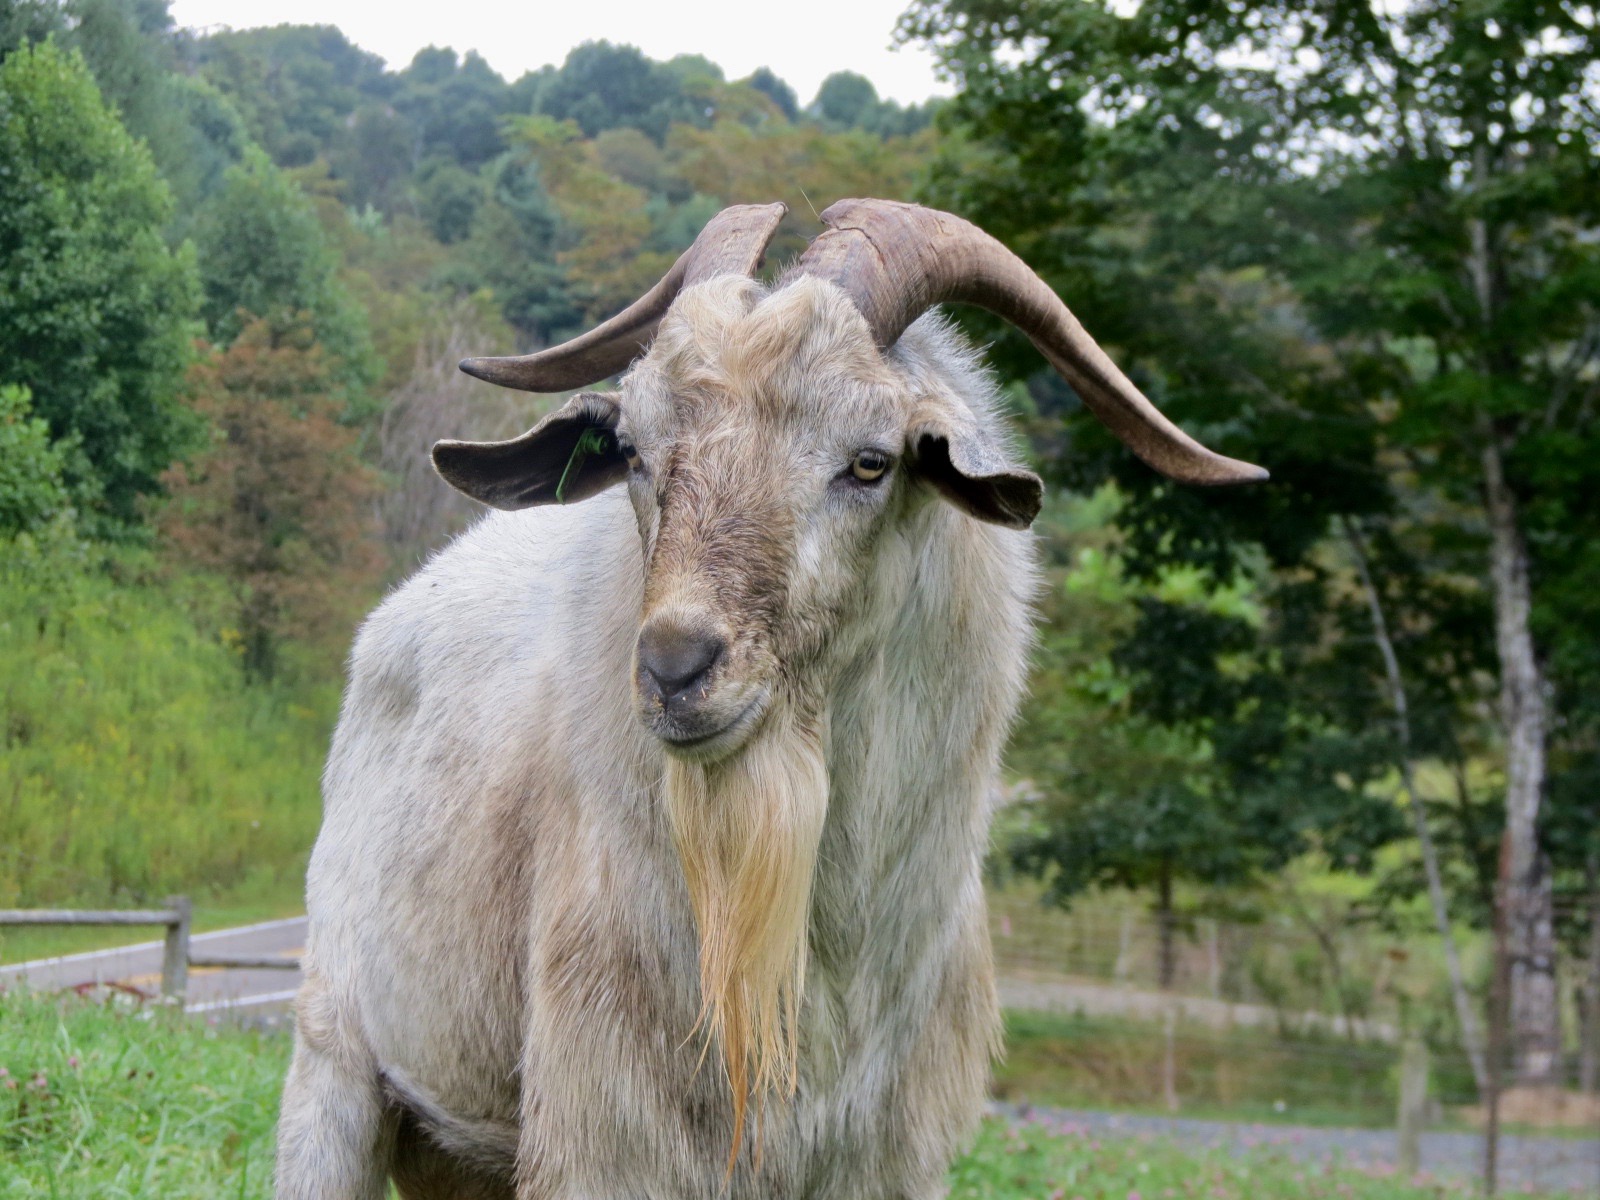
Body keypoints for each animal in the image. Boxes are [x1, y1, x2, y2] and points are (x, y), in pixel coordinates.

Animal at [274, 199, 1264, 1199]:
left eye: (871, 462)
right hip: (335, 1067)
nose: (674, 669)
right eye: (632, 450)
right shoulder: (609, 1136)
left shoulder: (888, 1158)